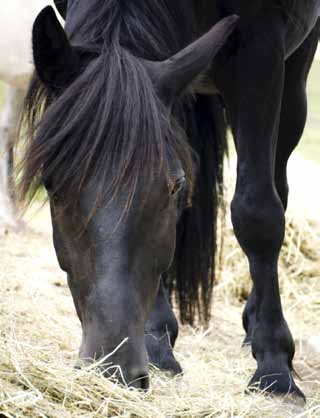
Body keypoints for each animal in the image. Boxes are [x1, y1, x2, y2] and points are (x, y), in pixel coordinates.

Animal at [18, 0, 318, 398]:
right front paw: (157, 342)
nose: (113, 368)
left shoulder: (260, 52)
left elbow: (257, 212)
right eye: (51, 186)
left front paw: (274, 368)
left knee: (276, 187)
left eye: (173, 187)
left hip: (294, 78)